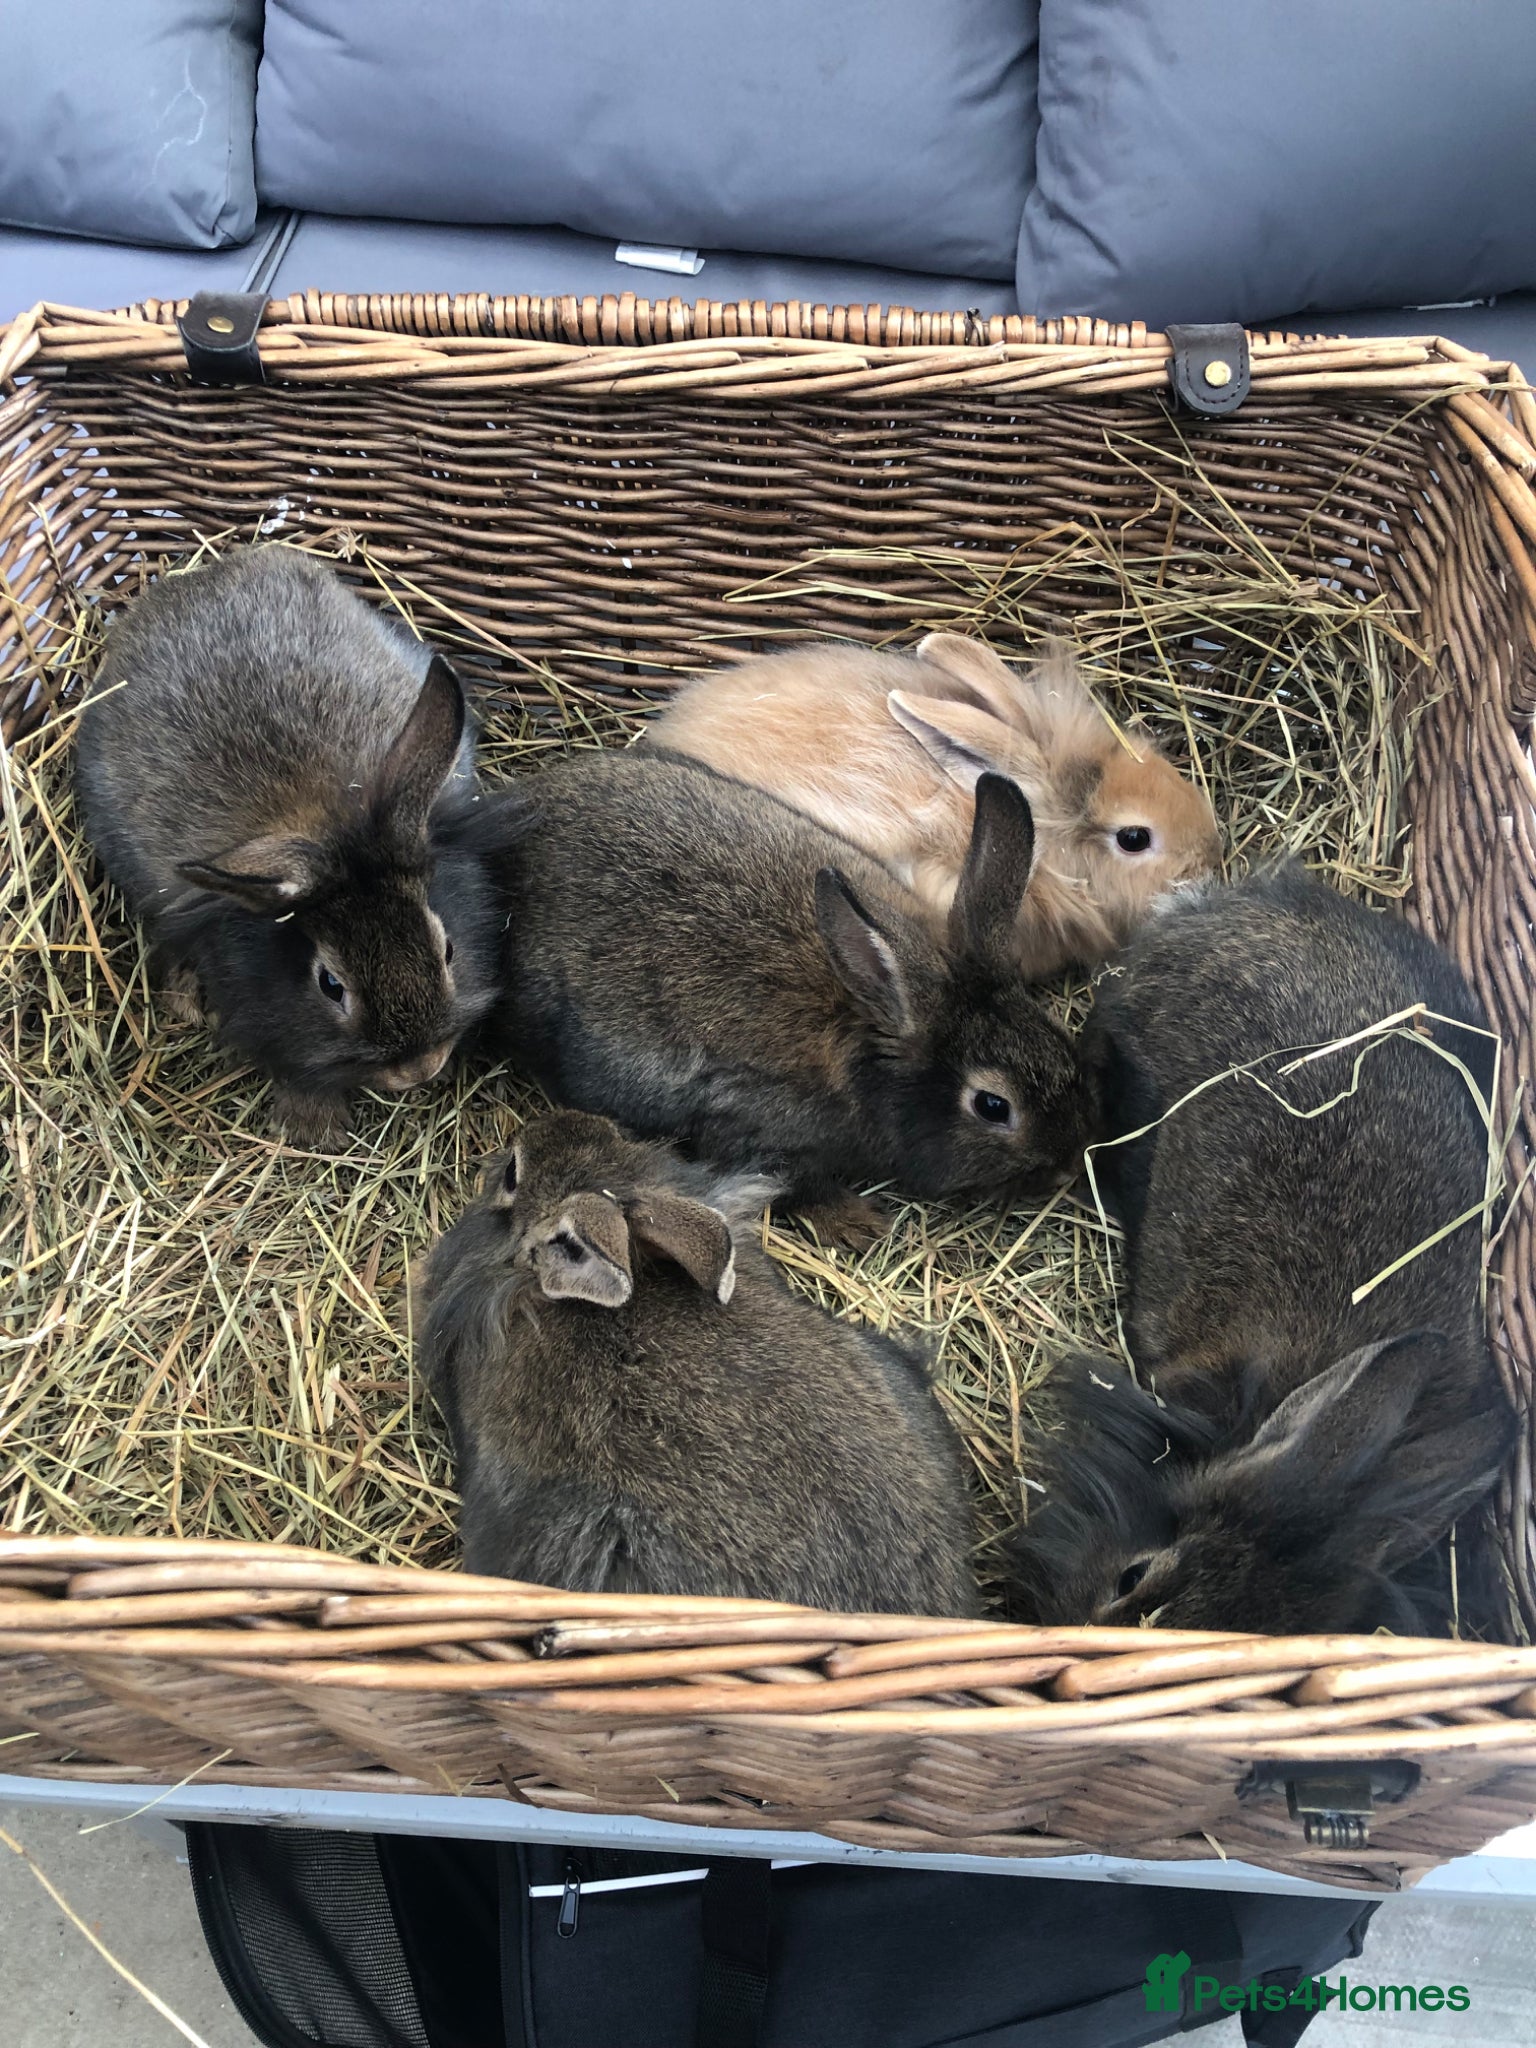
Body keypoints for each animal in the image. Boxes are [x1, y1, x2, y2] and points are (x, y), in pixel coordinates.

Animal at [74, 546, 519, 1146]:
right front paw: (312, 1126)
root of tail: (199, 577)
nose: (419, 1070)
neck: (327, 820)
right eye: (330, 985)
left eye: (448, 950)